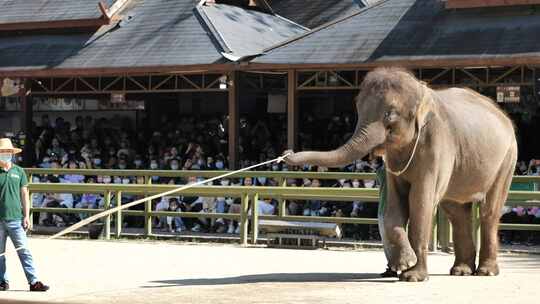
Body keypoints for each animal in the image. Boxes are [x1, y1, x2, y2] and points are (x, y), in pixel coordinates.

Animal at [284, 67, 516, 282]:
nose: (286, 155)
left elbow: (420, 201)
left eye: (390, 114)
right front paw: (403, 265)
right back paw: (461, 271)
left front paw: (412, 276)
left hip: (507, 159)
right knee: (456, 211)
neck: (422, 92)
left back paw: (485, 272)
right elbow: (395, 203)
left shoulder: (436, 144)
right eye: (358, 108)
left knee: (488, 211)